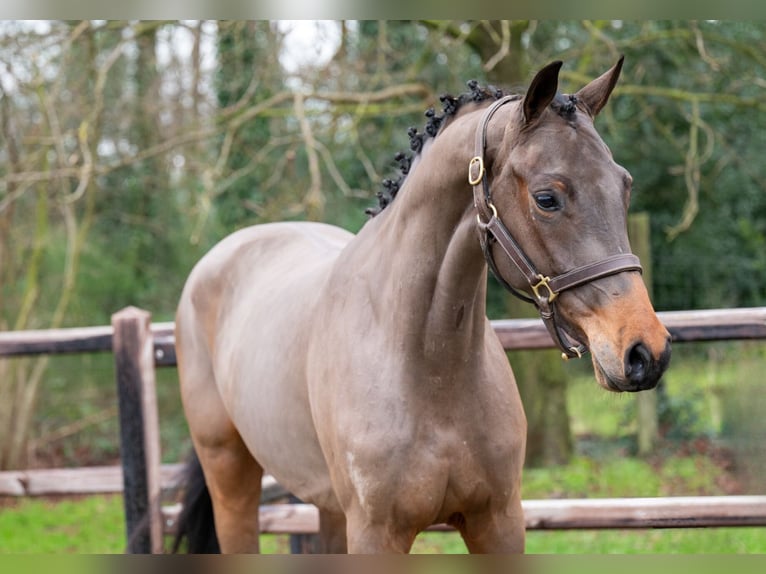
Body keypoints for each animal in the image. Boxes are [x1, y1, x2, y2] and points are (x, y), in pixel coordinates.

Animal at [172, 57, 672, 552]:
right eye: (546, 198)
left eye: (624, 187)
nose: (645, 352)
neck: (429, 367)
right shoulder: (377, 534)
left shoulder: (498, 521)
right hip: (231, 477)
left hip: (328, 508)